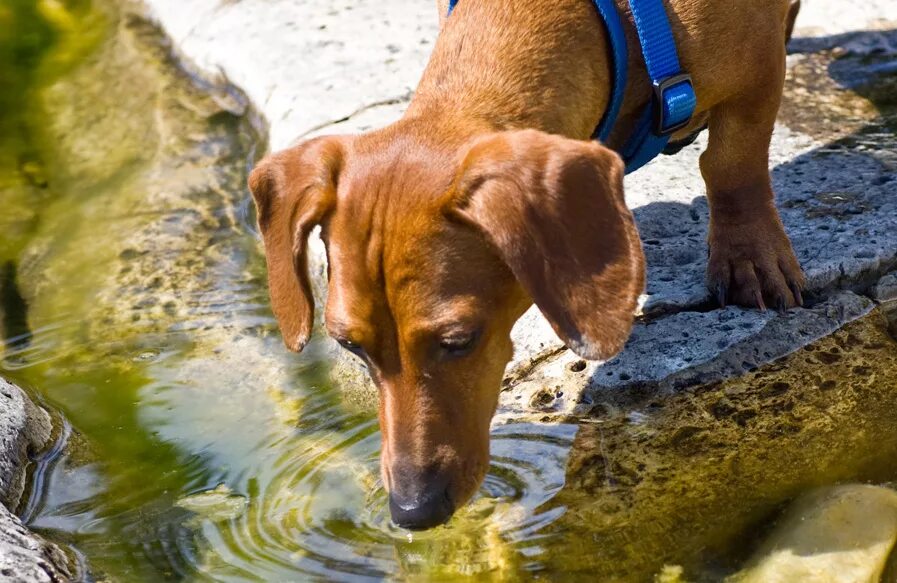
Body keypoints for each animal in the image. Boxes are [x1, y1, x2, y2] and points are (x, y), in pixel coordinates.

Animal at [250, 0, 804, 528]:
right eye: (348, 345)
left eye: (459, 341)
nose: (412, 512)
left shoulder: (756, 77)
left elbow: (733, 165)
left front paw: (748, 255)